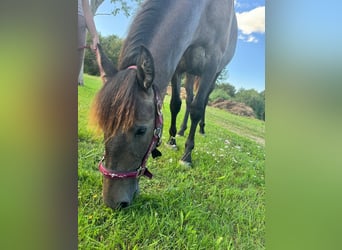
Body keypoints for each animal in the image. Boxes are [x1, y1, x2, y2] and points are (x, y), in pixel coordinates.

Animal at [92, 0, 239, 209]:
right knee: (189, 99)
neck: (204, 11)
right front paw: (172, 140)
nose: (114, 202)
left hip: (213, 74)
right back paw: (182, 130)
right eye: (104, 125)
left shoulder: (212, 63)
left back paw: (200, 129)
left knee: (201, 103)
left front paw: (186, 156)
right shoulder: (179, 67)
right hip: (191, 73)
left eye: (141, 130)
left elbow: (197, 108)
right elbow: (176, 104)